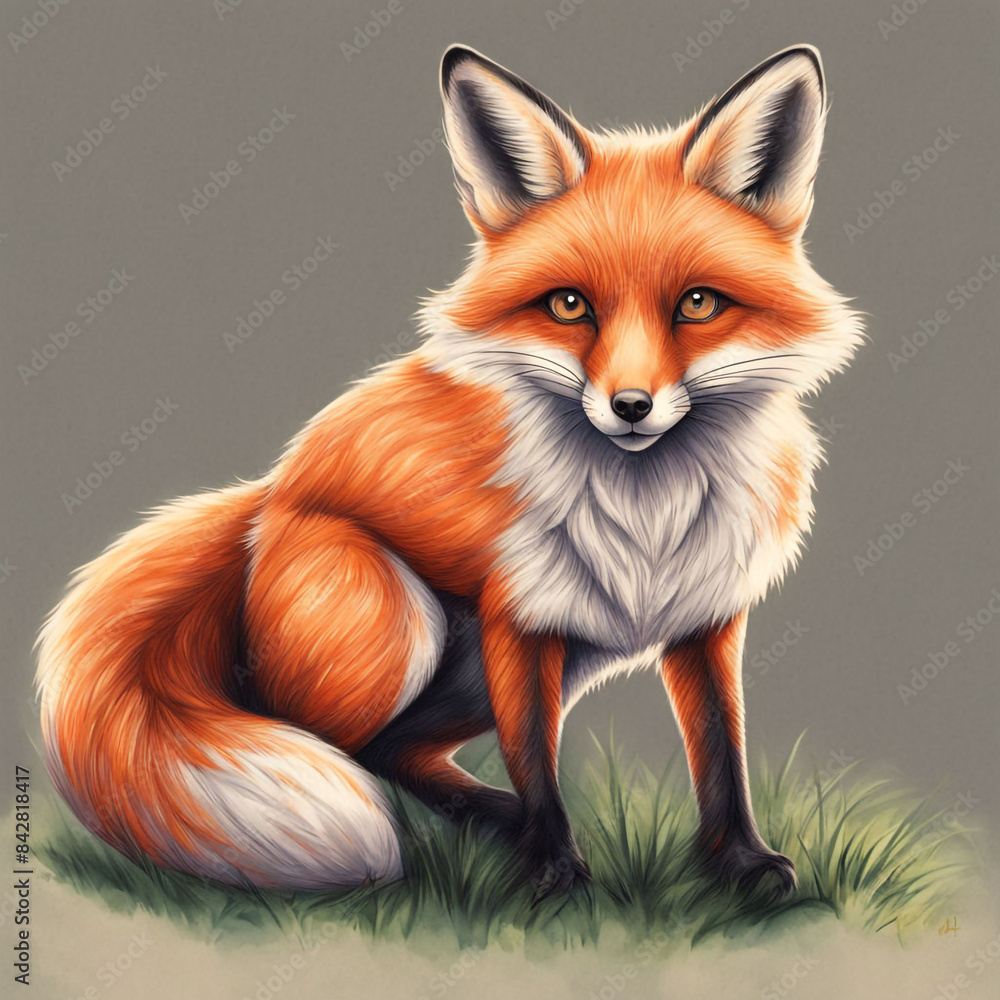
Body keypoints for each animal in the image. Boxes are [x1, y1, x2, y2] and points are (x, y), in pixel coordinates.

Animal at [37, 44, 862, 898]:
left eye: (698, 304)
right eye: (569, 306)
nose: (631, 406)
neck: (648, 520)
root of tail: (269, 498)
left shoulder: (707, 619)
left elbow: (721, 751)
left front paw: (741, 864)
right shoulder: (518, 620)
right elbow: (536, 759)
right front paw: (552, 874)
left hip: (526, 663)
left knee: (389, 748)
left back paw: (483, 816)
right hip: (399, 622)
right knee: (296, 728)